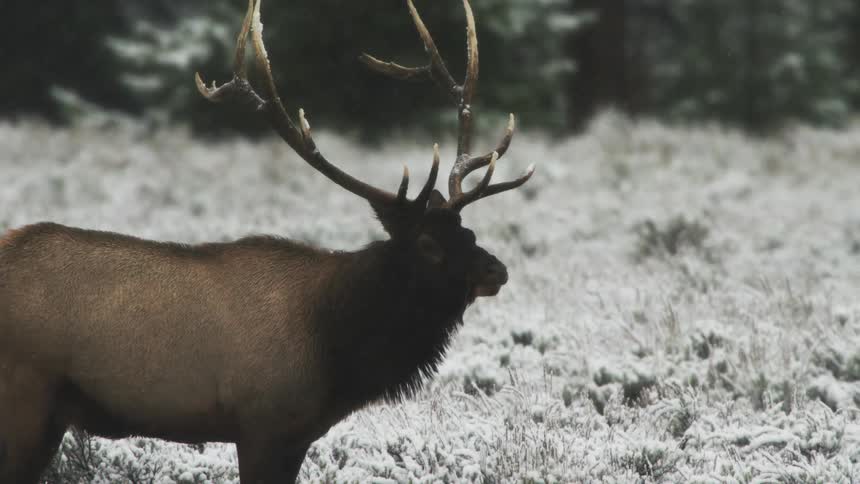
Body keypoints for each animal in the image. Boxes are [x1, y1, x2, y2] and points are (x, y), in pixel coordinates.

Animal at [0, 0, 534, 482]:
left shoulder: (296, 436)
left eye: (468, 231)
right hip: (27, 396)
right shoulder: (264, 424)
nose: (497, 270)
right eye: (426, 242)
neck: (336, 349)